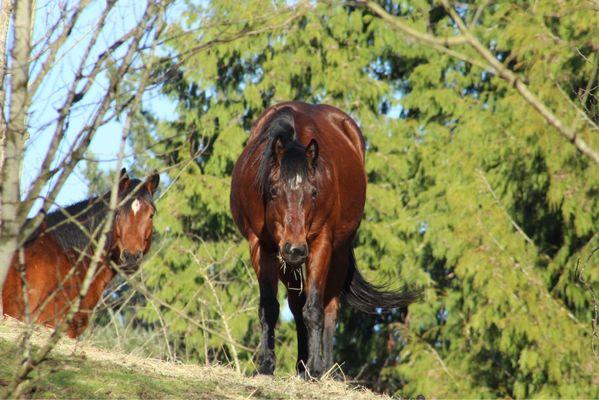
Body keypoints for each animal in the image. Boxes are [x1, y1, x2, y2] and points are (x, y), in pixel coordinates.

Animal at [230, 101, 422, 376]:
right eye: (274, 190)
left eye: (313, 191)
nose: (295, 249)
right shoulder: (261, 246)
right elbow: (270, 307)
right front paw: (266, 365)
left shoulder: (320, 244)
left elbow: (314, 309)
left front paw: (315, 367)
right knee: (296, 305)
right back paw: (301, 364)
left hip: (337, 253)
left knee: (330, 307)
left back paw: (325, 367)